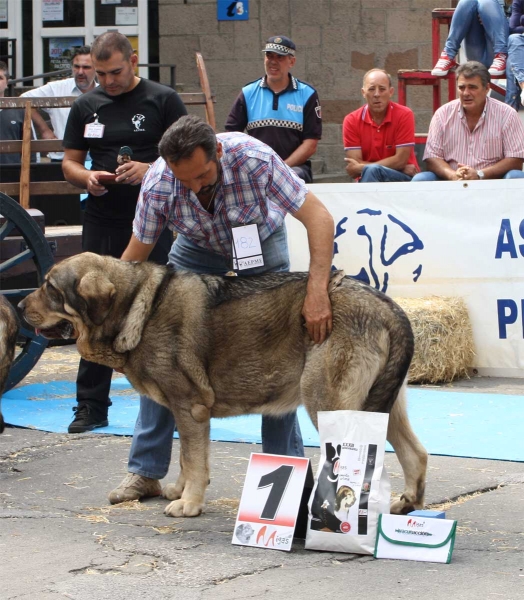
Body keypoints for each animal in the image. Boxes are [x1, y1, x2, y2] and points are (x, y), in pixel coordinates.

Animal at [21, 251, 430, 516]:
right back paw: (408, 504)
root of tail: (389, 307)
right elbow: (187, 457)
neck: (136, 305)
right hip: (384, 406)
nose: (20, 306)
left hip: (328, 403)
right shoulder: (186, 414)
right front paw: (181, 490)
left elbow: (194, 460)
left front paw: (188, 504)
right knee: (416, 454)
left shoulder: (191, 408)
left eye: (50, 288)